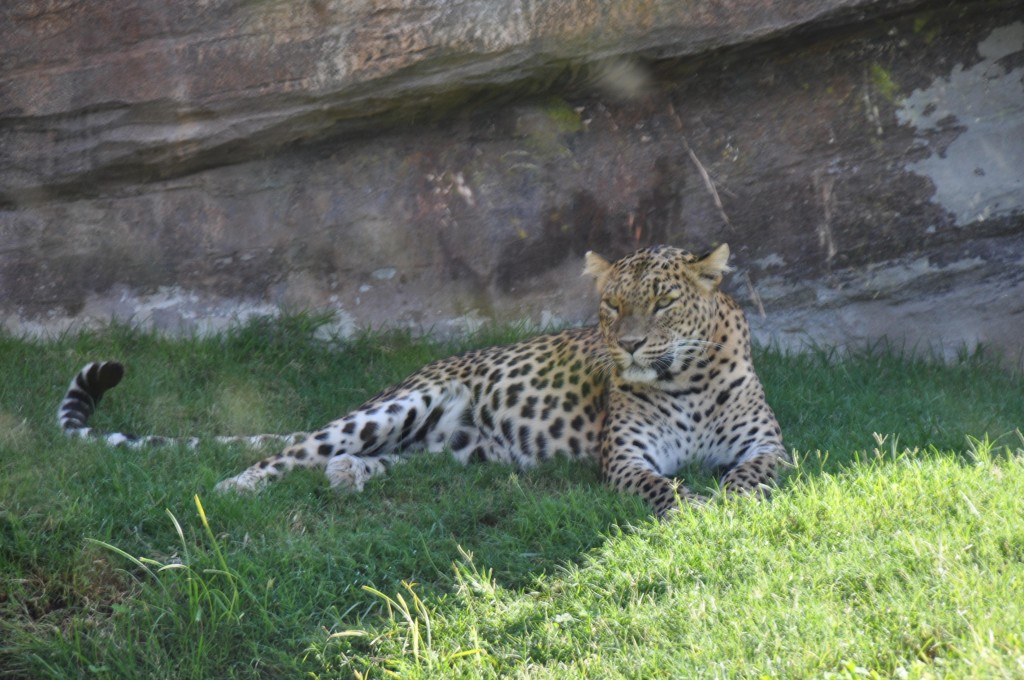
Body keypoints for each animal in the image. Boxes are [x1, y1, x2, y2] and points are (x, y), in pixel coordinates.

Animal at [59, 244, 786, 516]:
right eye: (612, 306)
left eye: (662, 304)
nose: (628, 344)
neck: (685, 382)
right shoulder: (626, 457)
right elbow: (657, 484)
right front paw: (692, 505)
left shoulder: (772, 448)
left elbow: (751, 473)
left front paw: (728, 501)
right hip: (396, 407)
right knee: (290, 454)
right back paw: (232, 490)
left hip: (460, 452)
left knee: (398, 464)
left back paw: (351, 477)